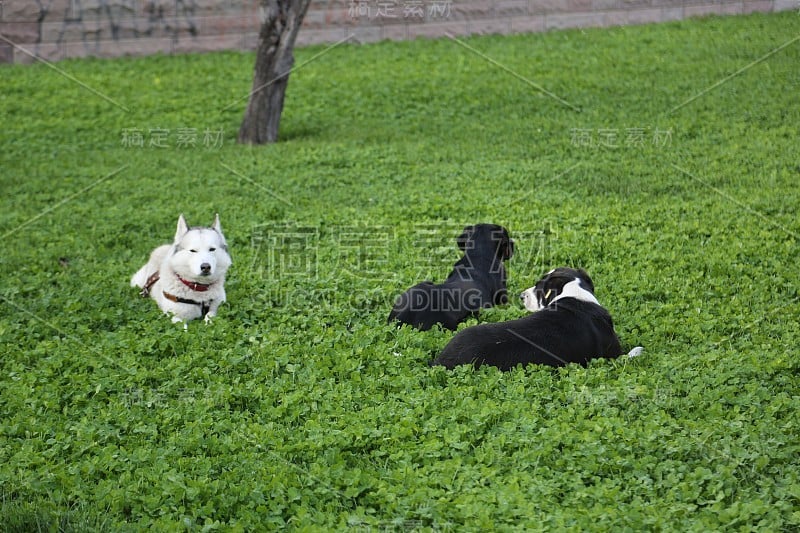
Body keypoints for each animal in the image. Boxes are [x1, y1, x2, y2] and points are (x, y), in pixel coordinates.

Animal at [432, 266, 636, 370]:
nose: (521, 296)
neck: (572, 293)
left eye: (539, 288)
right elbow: (634, 352)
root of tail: (440, 360)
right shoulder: (614, 354)